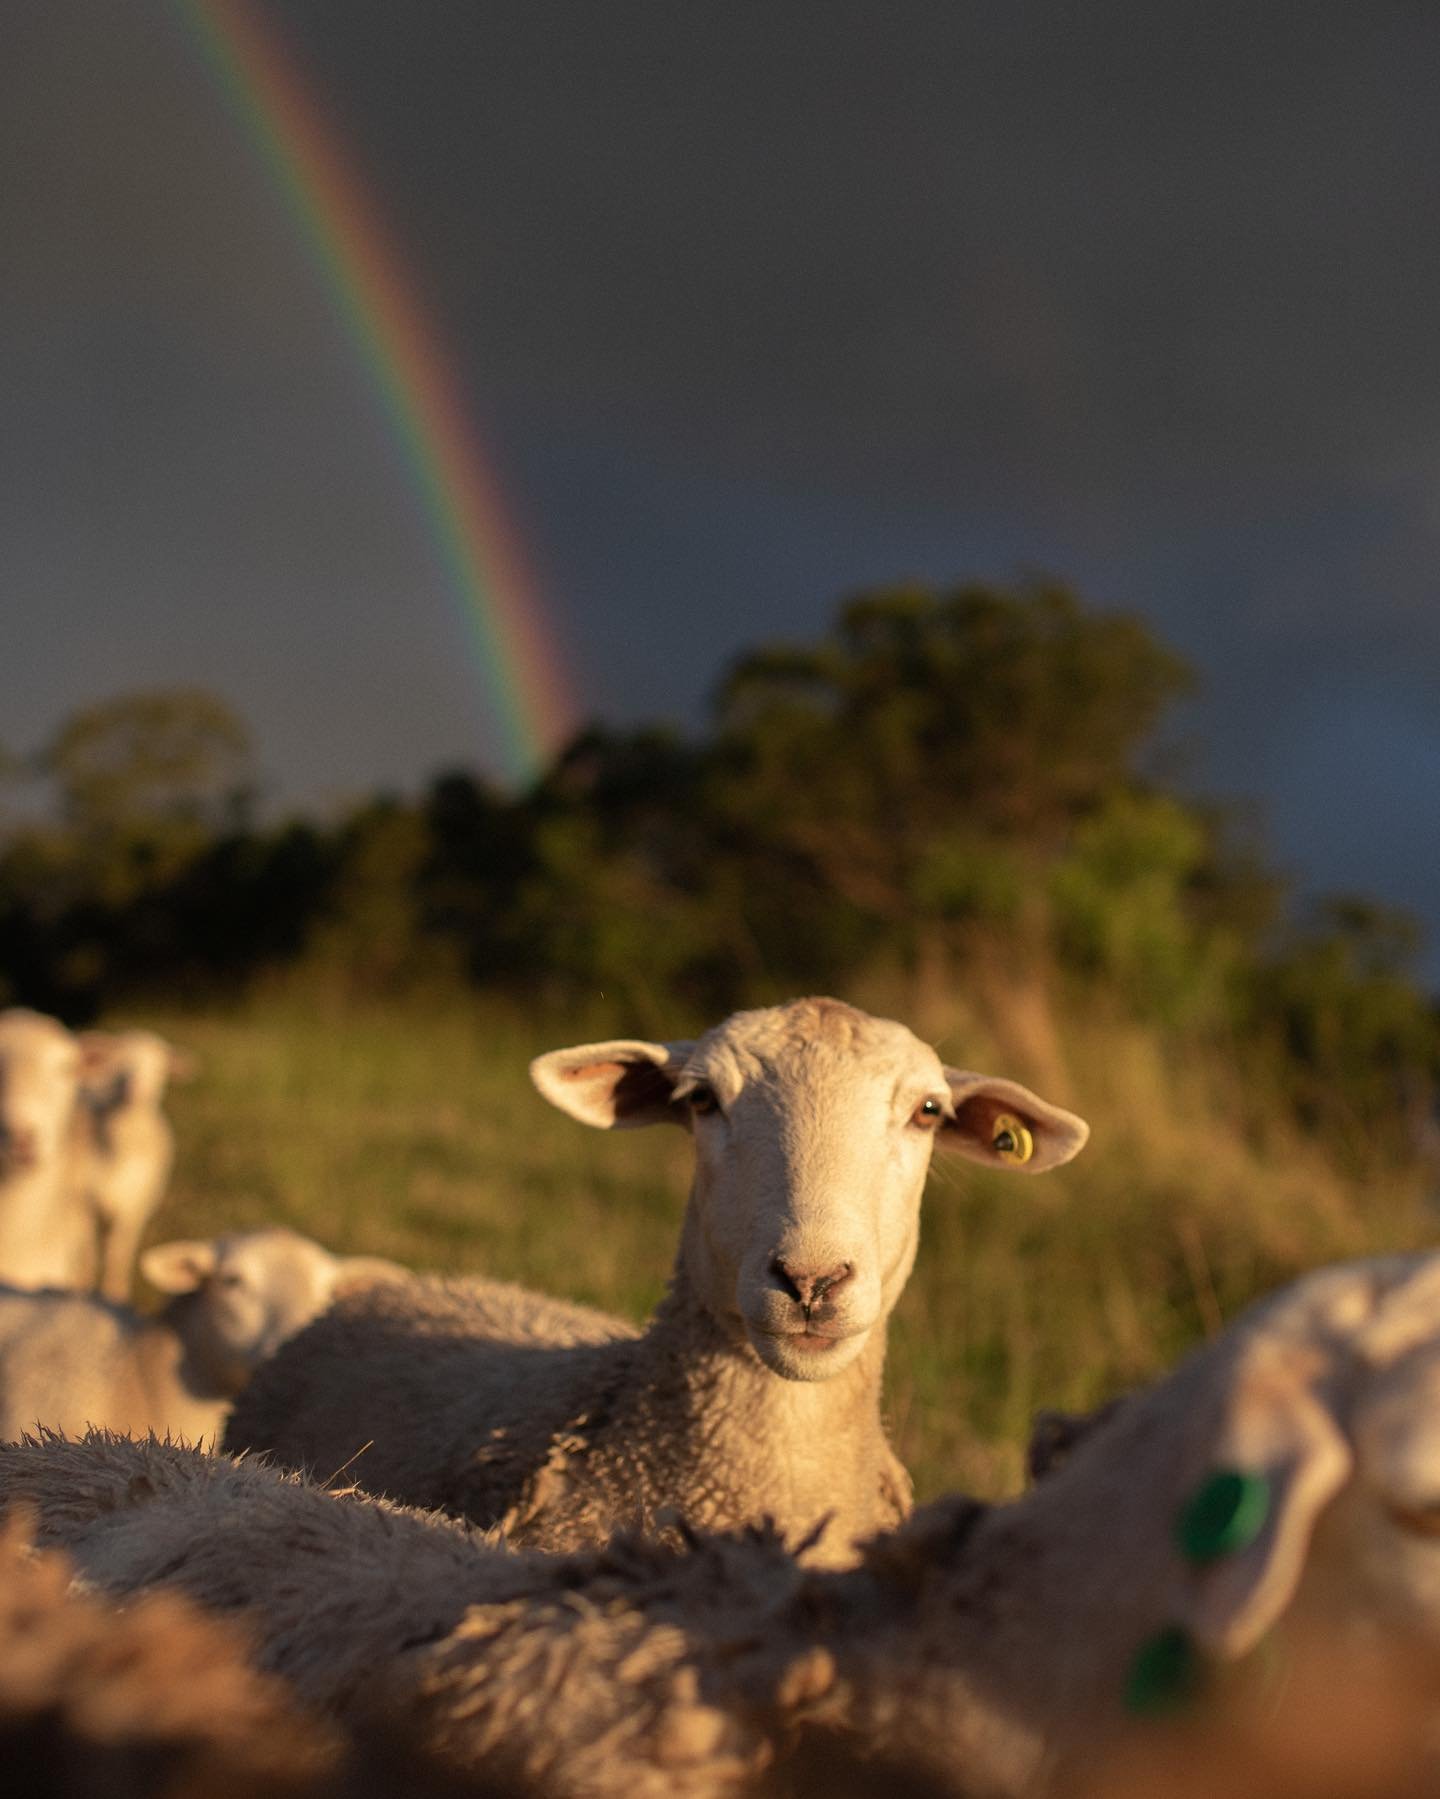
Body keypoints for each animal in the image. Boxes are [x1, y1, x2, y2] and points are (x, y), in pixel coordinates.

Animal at [70, 1026, 195, 1301]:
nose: (135, 1093)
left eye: (160, 1069)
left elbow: (118, 1254)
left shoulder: (134, 1208)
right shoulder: (85, 1204)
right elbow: (88, 1253)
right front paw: (82, 1289)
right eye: (121, 1063)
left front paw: (113, 1294)